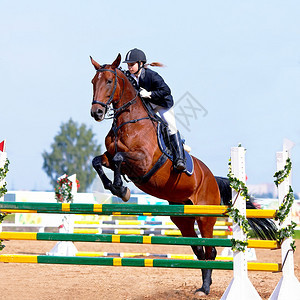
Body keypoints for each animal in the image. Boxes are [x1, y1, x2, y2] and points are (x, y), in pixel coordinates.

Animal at [89, 53, 276, 296]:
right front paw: (115, 187)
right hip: (181, 218)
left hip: (205, 217)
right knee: (199, 250)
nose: (96, 113)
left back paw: (205, 288)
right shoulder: (109, 157)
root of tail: (212, 179)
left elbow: (120, 158)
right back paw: (203, 286)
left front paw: (122, 189)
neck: (129, 121)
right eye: (93, 82)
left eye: (109, 81)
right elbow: (98, 161)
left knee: (210, 250)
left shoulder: (143, 161)